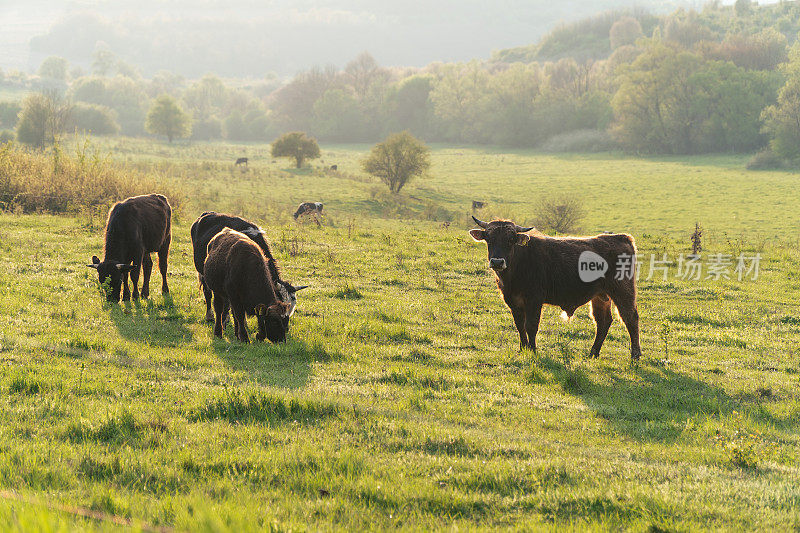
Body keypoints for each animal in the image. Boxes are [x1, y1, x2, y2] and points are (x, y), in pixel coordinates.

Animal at [468, 216, 644, 362]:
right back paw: (593, 352)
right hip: (600, 296)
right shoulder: (513, 301)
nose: (497, 262)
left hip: (623, 291)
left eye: (511, 240)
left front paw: (532, 350)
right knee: (603, 321)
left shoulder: (534, 300)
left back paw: (635, 355)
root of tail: (621, 238)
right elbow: (519, 326)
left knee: (630, 318)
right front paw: (523, 349)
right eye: (489, 239)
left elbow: (531, 325)